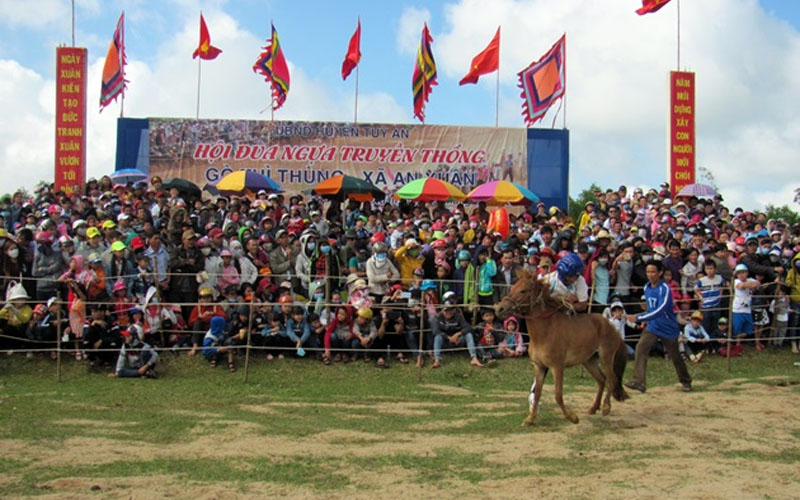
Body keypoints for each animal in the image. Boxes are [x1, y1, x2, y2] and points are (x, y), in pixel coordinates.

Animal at [494, 270, 632, 426]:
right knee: (602, 380)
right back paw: (593, 408)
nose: (499, 309)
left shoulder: (557, 366)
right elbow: (537, 393)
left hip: (606, 357)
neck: (544, 332)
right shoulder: (539, 366)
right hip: (589, 360)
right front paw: (530, 419)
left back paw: (605, 407)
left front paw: (572, 417)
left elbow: (558, 395)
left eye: (523, 291)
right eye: (512, 288)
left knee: (612, 379)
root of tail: (611, 325)